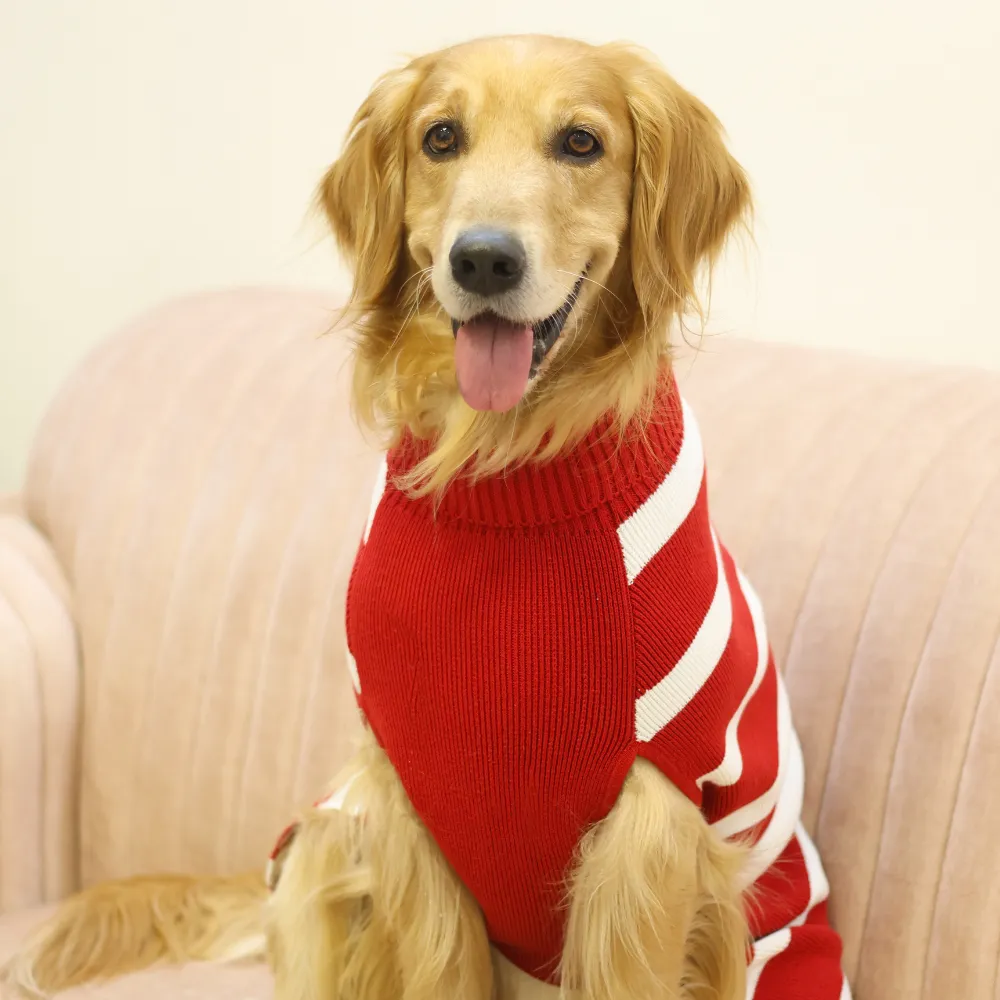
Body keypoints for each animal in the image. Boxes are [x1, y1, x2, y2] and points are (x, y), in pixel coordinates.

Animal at [3, 35, 848, 1000]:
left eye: (582, 143)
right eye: (441, 137)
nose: (483, 260)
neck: (502, 469)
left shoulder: (649, 831)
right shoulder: (406, 797)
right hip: (326, 832)